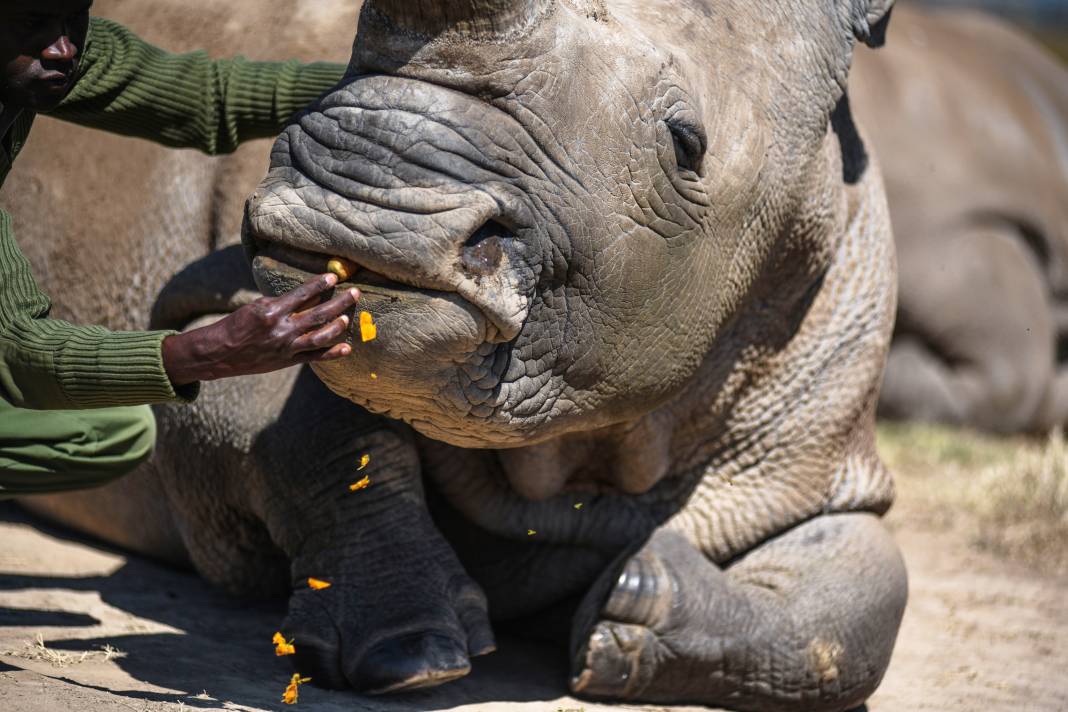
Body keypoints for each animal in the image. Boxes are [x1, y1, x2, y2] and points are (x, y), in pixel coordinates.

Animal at [12, 0, 905, 708]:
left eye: (687, 144)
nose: (356, 210)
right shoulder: (208, 301)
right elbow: (305, 432)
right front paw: (411, 655)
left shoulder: (816, 442)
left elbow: (863, 606)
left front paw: (631, 608)